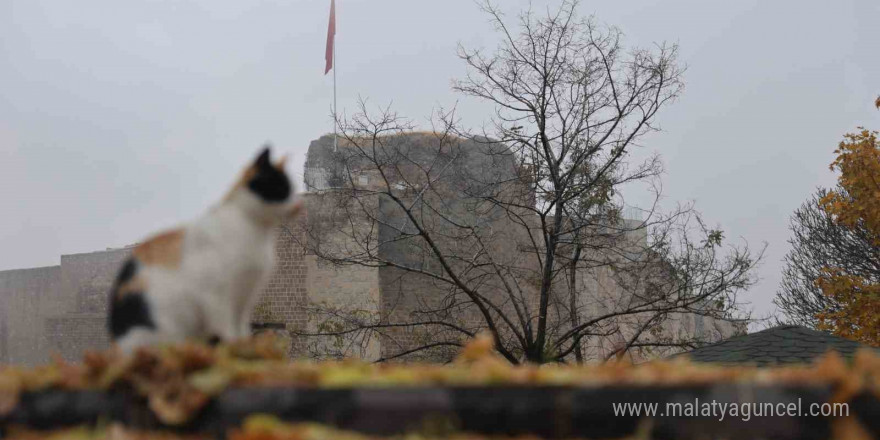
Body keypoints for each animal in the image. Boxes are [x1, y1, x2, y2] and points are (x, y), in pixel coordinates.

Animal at [108, 146, 300, 352]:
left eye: (291, 188)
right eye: (280, 189)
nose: (298, 206)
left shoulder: (244, 298)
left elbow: (241, 330)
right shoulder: (216, 296)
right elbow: (228, 331)